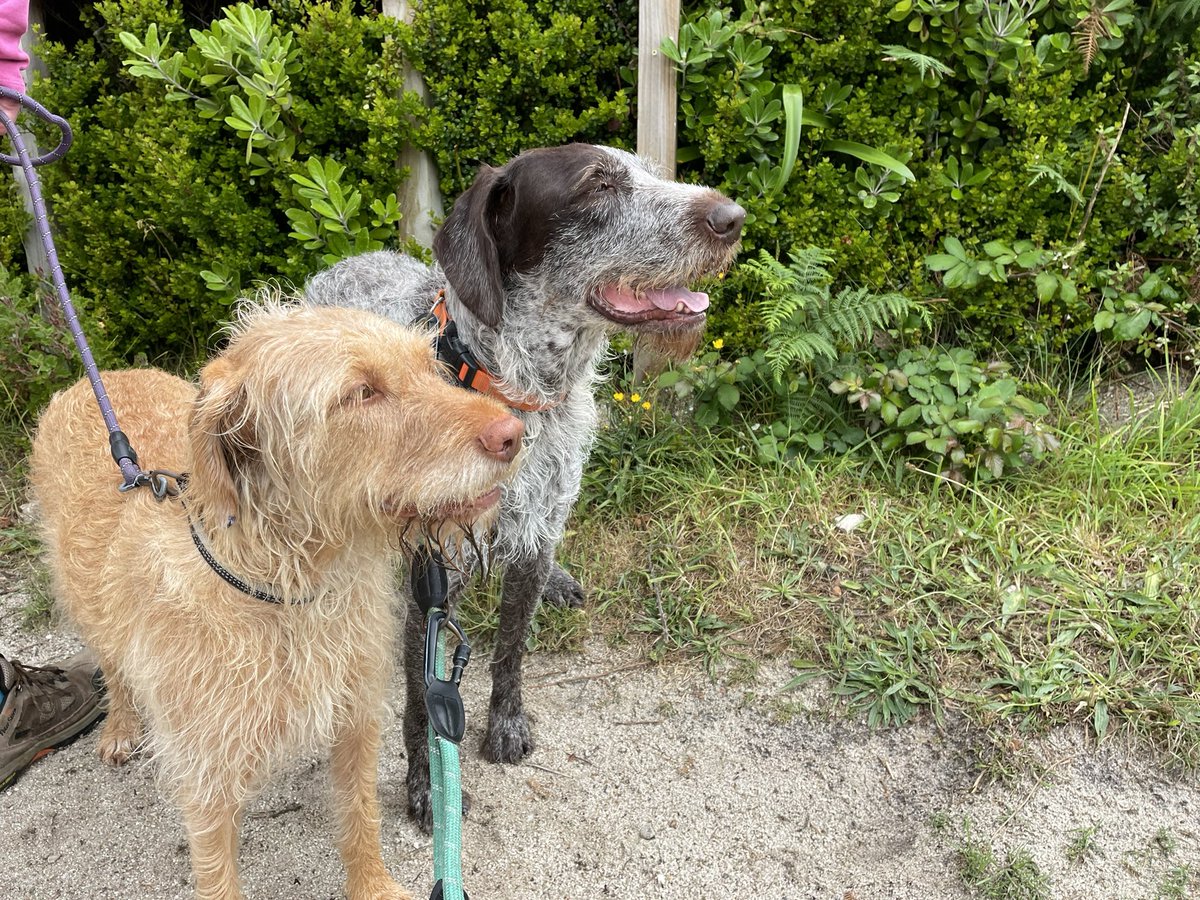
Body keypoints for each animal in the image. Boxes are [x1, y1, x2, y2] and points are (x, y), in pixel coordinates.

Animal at [28, 304, 523, 900]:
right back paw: (122, 725)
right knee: (113, 663)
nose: (514, 433)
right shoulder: (206, 780)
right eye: (362, 393)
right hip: (84, 601)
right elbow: (218, 876)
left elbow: (361, 821)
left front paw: (373, 886)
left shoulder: (356, 721)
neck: (288, 587)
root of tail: (95, 379)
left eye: (431, 367)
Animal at [304, 146, 744, 830]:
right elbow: (420, 700)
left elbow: (512, 647)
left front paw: (506, 722)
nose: (733, 218)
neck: (513, 392)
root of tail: (344, 265)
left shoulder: (536, 531)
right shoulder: (428, 577)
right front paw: (426, 785)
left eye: (649, 170)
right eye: (598, 184)